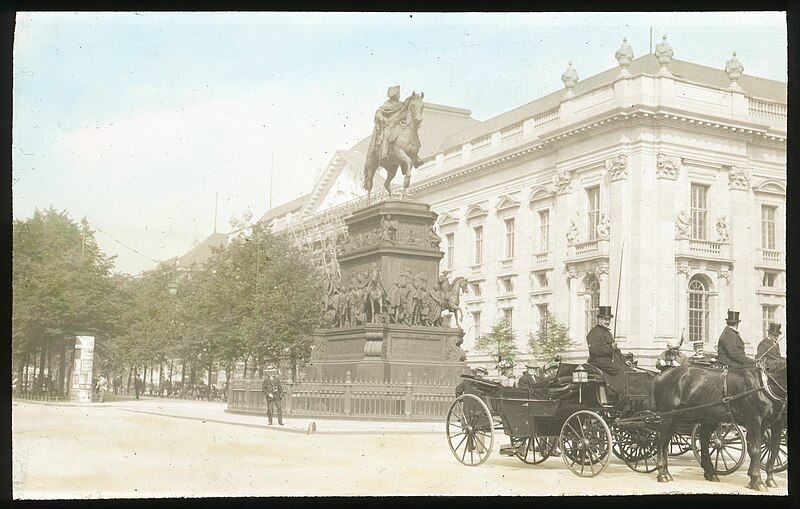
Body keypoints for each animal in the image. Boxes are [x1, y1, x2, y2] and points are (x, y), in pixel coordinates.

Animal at [648, 362, 788, 488]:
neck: (766, 384)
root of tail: (662, 375)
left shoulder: (776, 424)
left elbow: (774, 449)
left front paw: (769, 480)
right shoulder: (755, 420)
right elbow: (756, 449)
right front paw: (757, 480)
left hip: (686, 418)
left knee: (675, 441)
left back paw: (706, 473)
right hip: (670, 415)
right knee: (661, 438)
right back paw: (662, 473)